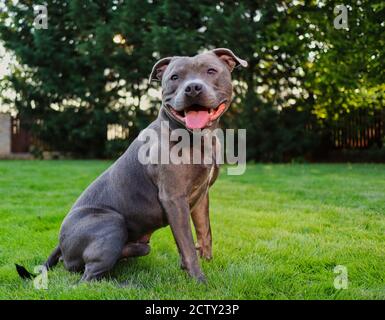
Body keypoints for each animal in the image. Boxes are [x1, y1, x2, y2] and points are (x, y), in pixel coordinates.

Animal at [17, 47, 246, 282]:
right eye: (174, 77)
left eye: (211, 71)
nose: (192, 88)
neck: (196, 137)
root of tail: (60, 244)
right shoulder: (173, 198)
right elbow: (188, 244)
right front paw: (199, 280)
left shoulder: (201, 195)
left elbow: (204, 231)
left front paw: (207, 263)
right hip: (111, 222)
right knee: (86, 278)